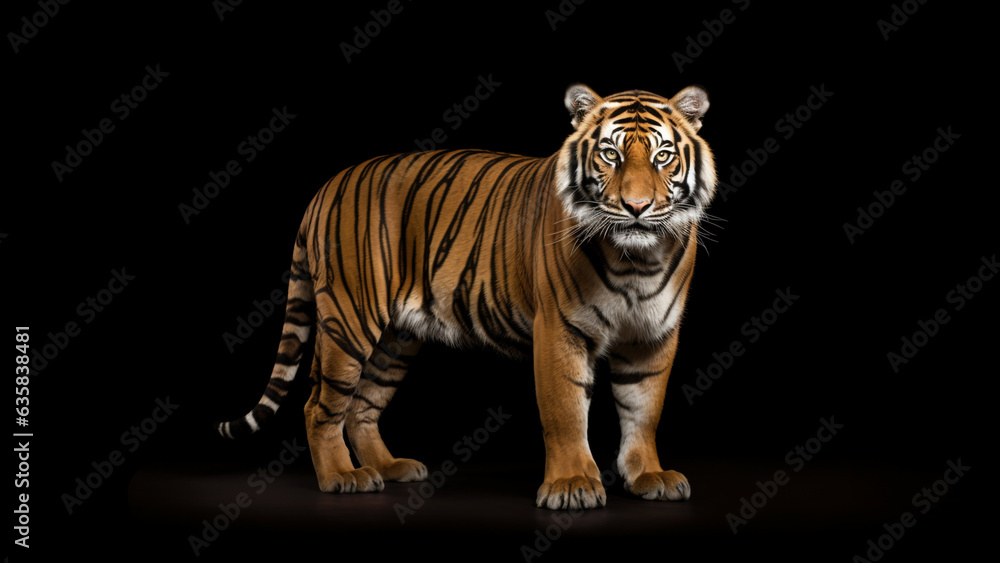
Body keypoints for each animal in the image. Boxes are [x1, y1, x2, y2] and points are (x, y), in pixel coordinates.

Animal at [216, 83, 716, 510]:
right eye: (610, 154)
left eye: (663, 156)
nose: (637, 207)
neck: (638, 261)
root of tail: (326, 187)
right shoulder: (560, 329)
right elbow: (566, 411)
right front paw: (572, 484)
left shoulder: (654, 335)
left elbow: (644, 409)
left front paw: (648, 476)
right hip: (348, 321)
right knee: (320, 405)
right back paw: (342, 477)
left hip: (395, 339)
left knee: (362, 406)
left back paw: (389, 467)